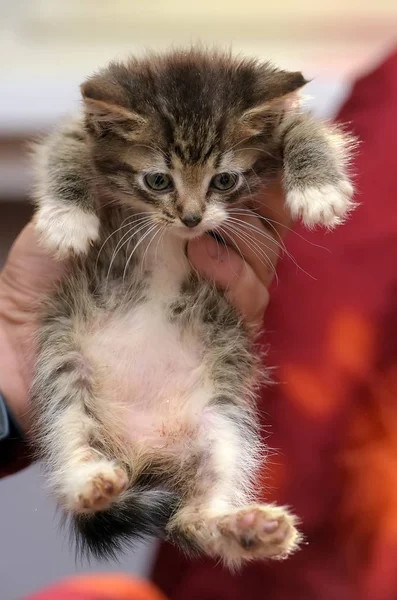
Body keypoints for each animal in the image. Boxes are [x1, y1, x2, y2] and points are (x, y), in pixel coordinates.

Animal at [30, 48, 352, 568]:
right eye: (158, 180)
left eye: (224, 180)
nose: (191, 218)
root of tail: (144, 451)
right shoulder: (86, 128)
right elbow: (65, 145)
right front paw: (67, 216)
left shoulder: (280, 128)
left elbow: (306, 128)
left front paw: (319, 189)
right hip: (63, 373)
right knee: (70, 442)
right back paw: (90, 484)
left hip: (224, 421)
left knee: (191, 516)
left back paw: (245, 529)